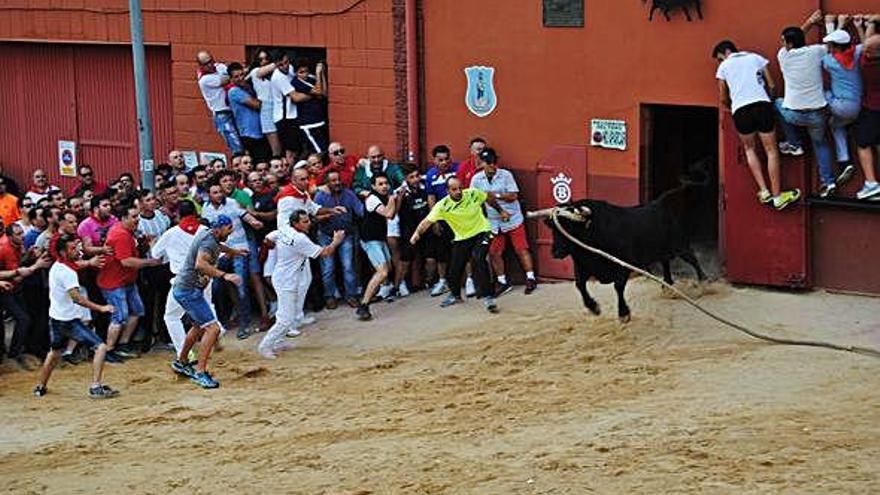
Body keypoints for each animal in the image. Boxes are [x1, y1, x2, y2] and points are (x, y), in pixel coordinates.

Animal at [528, 192, 708, 324]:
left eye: (570, 227)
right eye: (552, 228)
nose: (555, 252)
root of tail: (658, 205)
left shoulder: (622, 266)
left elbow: (618, 287)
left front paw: (623, 314)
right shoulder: (581, 266)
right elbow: (580, 285)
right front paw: (594, 307)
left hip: (680, 245)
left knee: (692, 259)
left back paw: (704, 282)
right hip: (661, 249)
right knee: (665, 262)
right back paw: (667, 285)